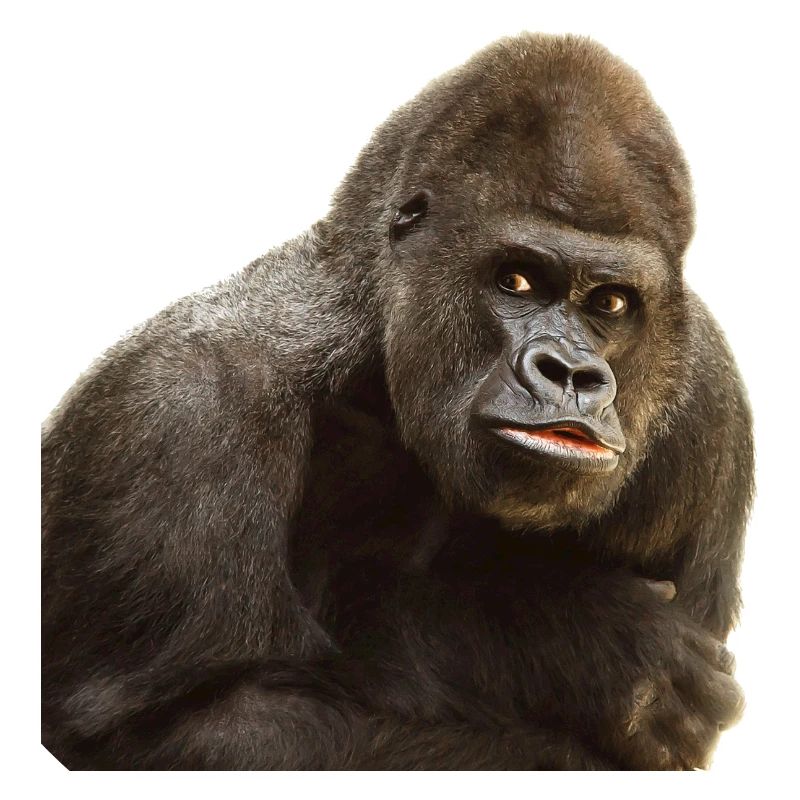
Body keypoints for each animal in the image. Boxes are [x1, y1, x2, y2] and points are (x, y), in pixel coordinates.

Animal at [41, 33, 752, 769]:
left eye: (610, 303)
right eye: (516, 281)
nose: (571, 373)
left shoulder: (709, 408)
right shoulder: (181, 408)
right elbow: (177, 729)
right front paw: (573, 641)